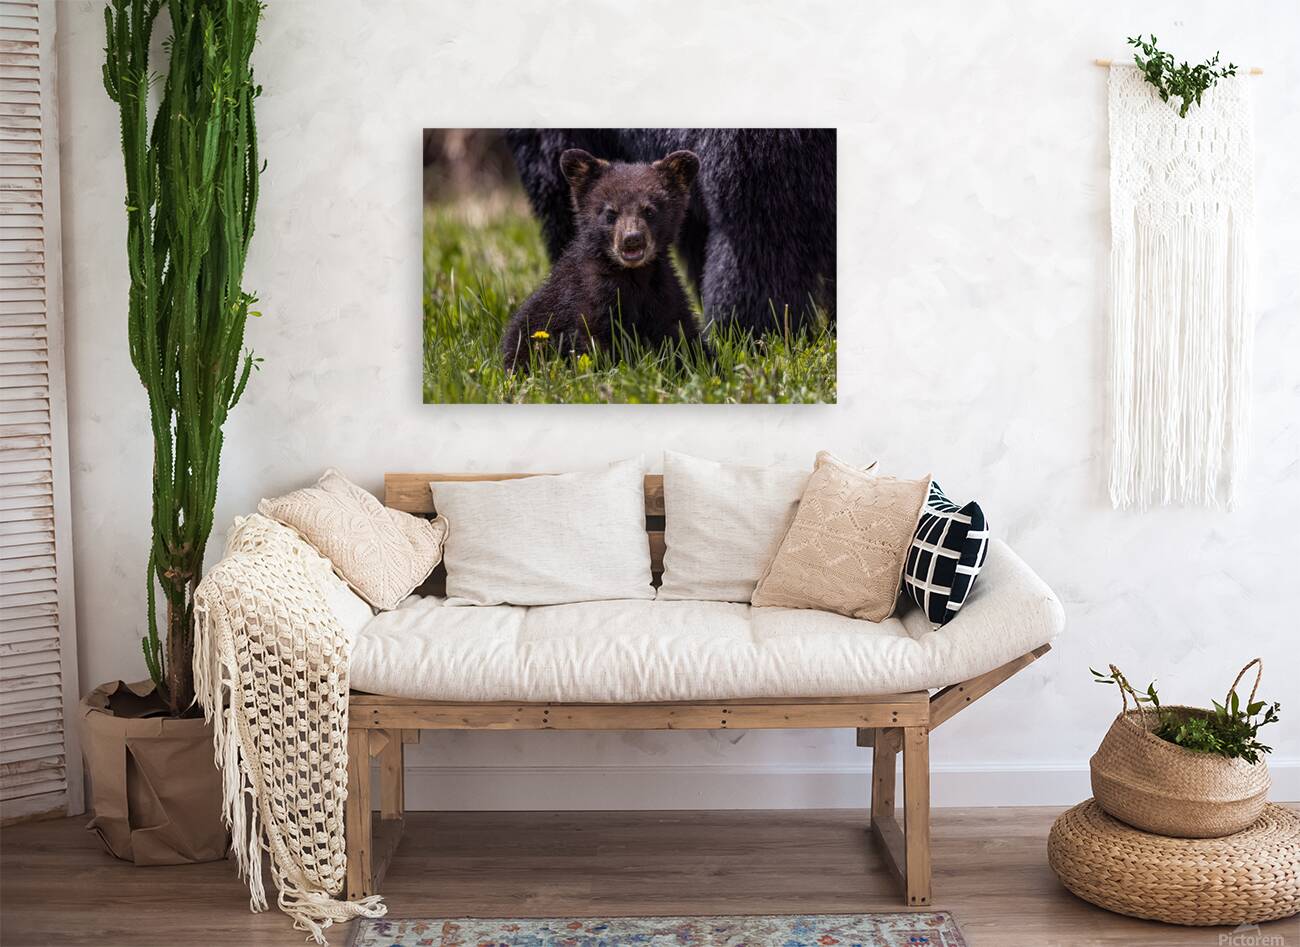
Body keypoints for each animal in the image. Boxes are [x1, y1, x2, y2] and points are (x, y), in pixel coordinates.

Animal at [501, 148, 703, 373]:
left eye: (650, 210)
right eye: (610, 213)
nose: (632, 239)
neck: (632, 274)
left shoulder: (663, 290)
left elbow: (682, 332)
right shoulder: (588, 296)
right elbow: (593, 341)